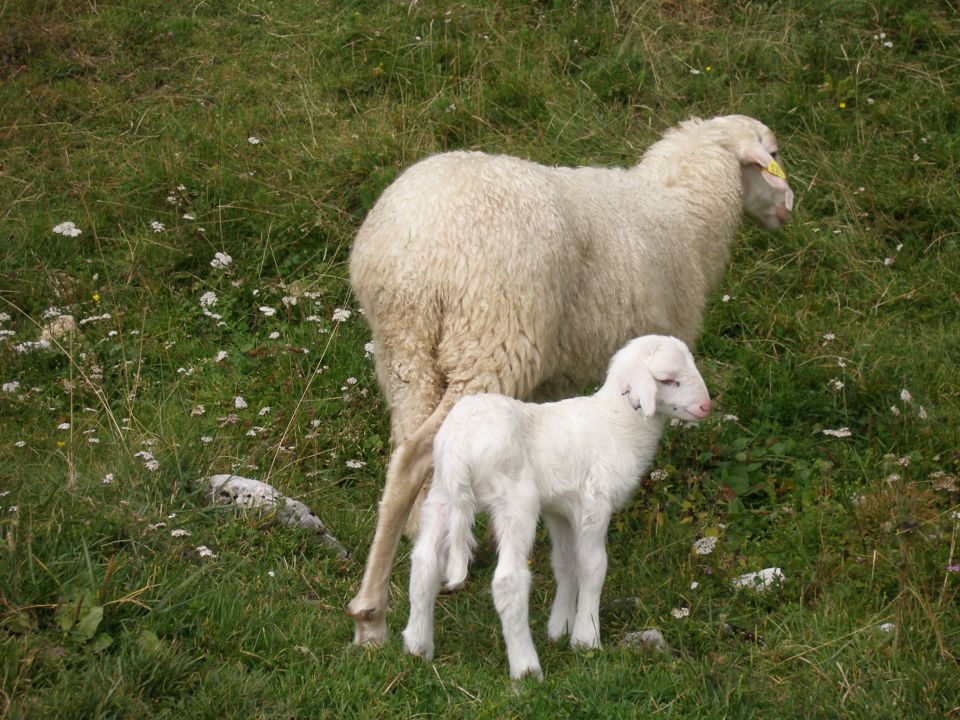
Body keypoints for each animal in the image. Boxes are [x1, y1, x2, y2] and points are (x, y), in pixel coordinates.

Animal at [402, 334, 708, 676]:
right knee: (508, 580)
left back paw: (417, 647)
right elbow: (593, 566)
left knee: (425, 563)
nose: (705, 406)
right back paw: (526, 668)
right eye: (667, 379)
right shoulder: (594, 503)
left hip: (441, 494)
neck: (619, 424)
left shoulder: (561, 510)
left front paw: (560, 628)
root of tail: (460, 445)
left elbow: (566, 563)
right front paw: (586, 638)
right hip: (514, 500)